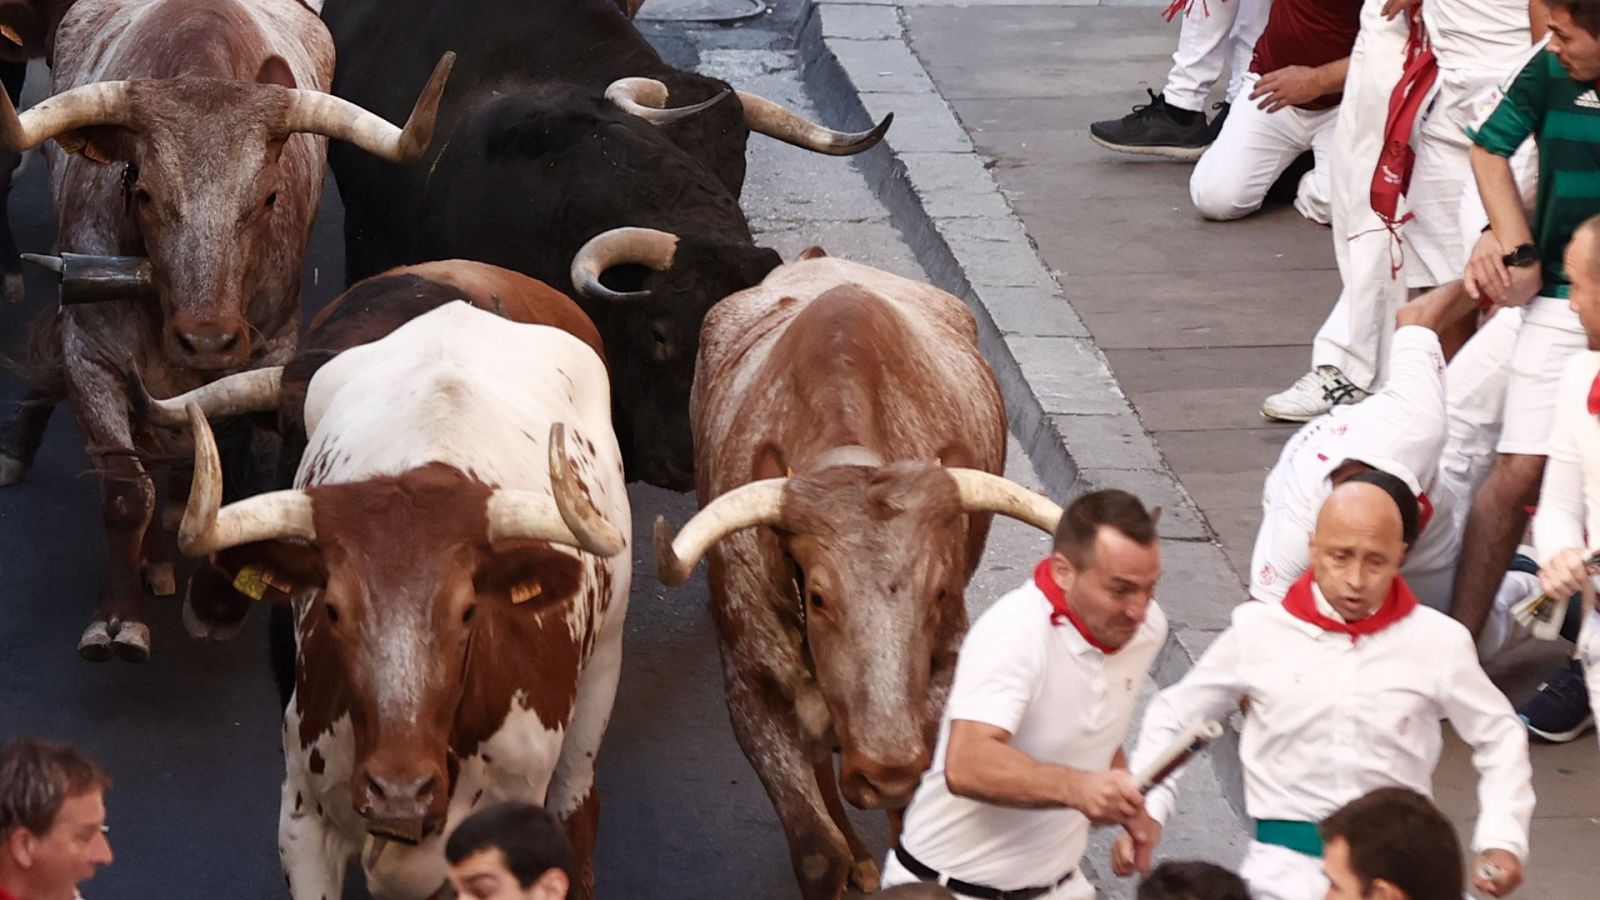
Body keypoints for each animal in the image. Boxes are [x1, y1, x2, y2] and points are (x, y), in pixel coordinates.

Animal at [0, 0, 451, 659]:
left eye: (269, 198)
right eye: (143, 192)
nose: (208, 341)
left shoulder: (272, 356)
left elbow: (247, 476)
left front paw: (217, 601)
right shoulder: (91, 356)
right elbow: (125, 491)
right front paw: (118, 617)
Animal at [170, 297, 630, 890]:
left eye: (468, 611)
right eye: (333, 609)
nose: (400, 792)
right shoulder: (302, 825)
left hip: (602, 669)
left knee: (578, 799)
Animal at [649, 246, 1062, 896]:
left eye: (939, 591)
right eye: (818, 597)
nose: (885, 770)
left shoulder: (941, 678)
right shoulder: (751, 689)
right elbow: (818, 851)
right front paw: (847, 856)